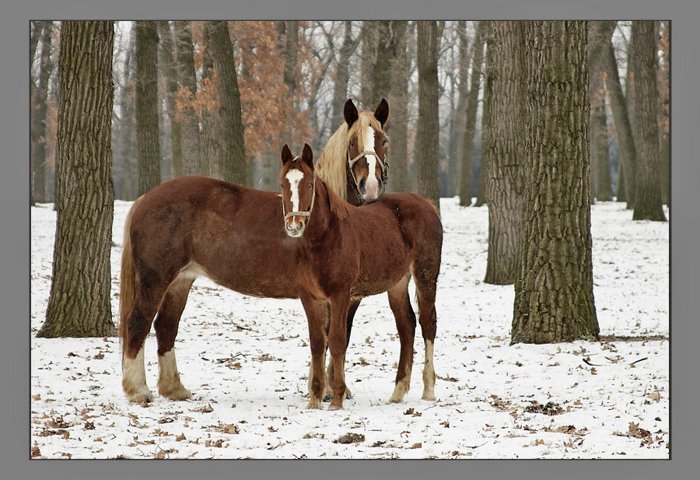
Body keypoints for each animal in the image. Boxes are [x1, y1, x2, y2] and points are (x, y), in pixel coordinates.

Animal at [119, 99, 390, 404]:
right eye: (353, 142)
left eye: (383, 140)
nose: (370, 186)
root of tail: (146, 198)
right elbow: (330, 337)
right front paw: (327, 390)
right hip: (155, 279)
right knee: (138, 323)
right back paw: (138, 390)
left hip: (180, 280)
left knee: (166, 326)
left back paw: (174, 389)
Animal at [280, 144, 442, 410]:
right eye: (283, 184)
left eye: (310, 185)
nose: (295, 225)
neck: (327, 236)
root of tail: (428, 205)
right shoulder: (310, 298)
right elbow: (317, 343)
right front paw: (314, 400)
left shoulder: (341, 296)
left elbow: (336, 340)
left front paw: (336, 398)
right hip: (397, 284)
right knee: (406, 326)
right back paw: (398, 391)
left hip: (426, 275)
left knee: (428, 323)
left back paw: (428, 389)